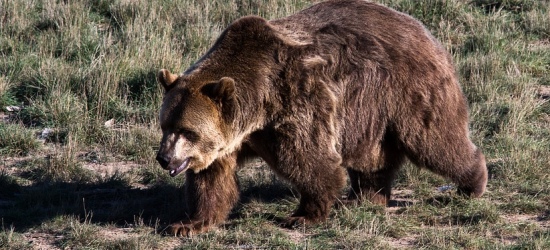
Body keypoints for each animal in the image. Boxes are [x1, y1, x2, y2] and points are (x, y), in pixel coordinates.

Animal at [154, 0, 488, 236]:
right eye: (165, 126)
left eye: (188, 131)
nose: (164, 158)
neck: (257, 107)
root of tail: (422, 28)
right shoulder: (229, 140)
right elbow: (212, 180)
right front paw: (189, 223)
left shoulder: (295, 102)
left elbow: (310, 161)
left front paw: (303, 215)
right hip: (369, 112)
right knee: (372, 158)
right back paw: (365, 197)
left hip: (407, 90)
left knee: (434, 141)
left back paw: (472, 183)